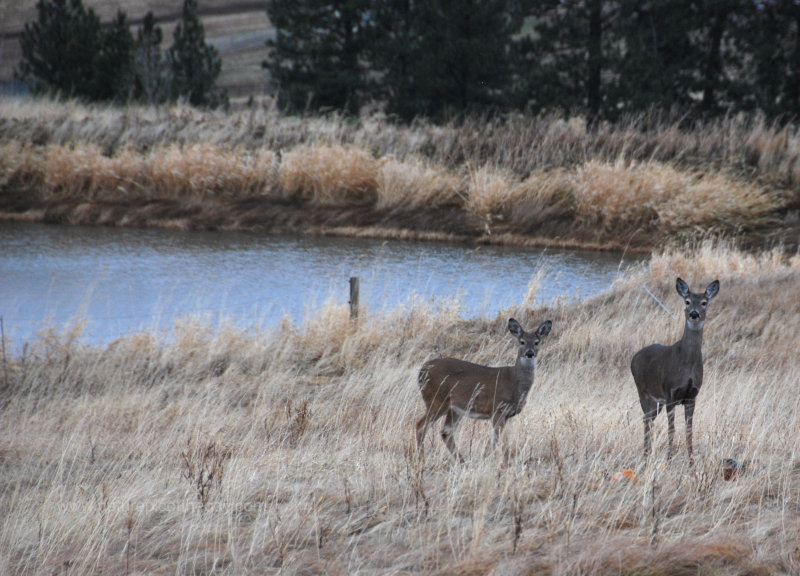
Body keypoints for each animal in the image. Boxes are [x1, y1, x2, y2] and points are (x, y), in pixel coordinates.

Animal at [416, 318, 552, 462]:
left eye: (537, 342)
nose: (529, 353)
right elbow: (497, 440)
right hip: (436, 399)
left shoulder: (506, 415)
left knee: (445, 432)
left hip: (454, 409)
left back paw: (462, 461)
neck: (514, 383)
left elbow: (493, 441)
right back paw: (421, 460)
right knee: (421, 426)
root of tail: (421, 370)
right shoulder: (498, 408)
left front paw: (486, 459)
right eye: (522, 342)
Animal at [632, 276, 720, 462]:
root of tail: (634, 357)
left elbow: (689, 431)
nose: (694, 314)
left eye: (704, 302)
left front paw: (691, 461)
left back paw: (647, 453)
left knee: (649, 419)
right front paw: (669, 458)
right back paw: (645, 455)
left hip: (656, 401)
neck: (686, 366)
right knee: (646, 419)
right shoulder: (670, 393)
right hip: (643, 392)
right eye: (687, 301)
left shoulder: (692, 396)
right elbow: (671, 429)